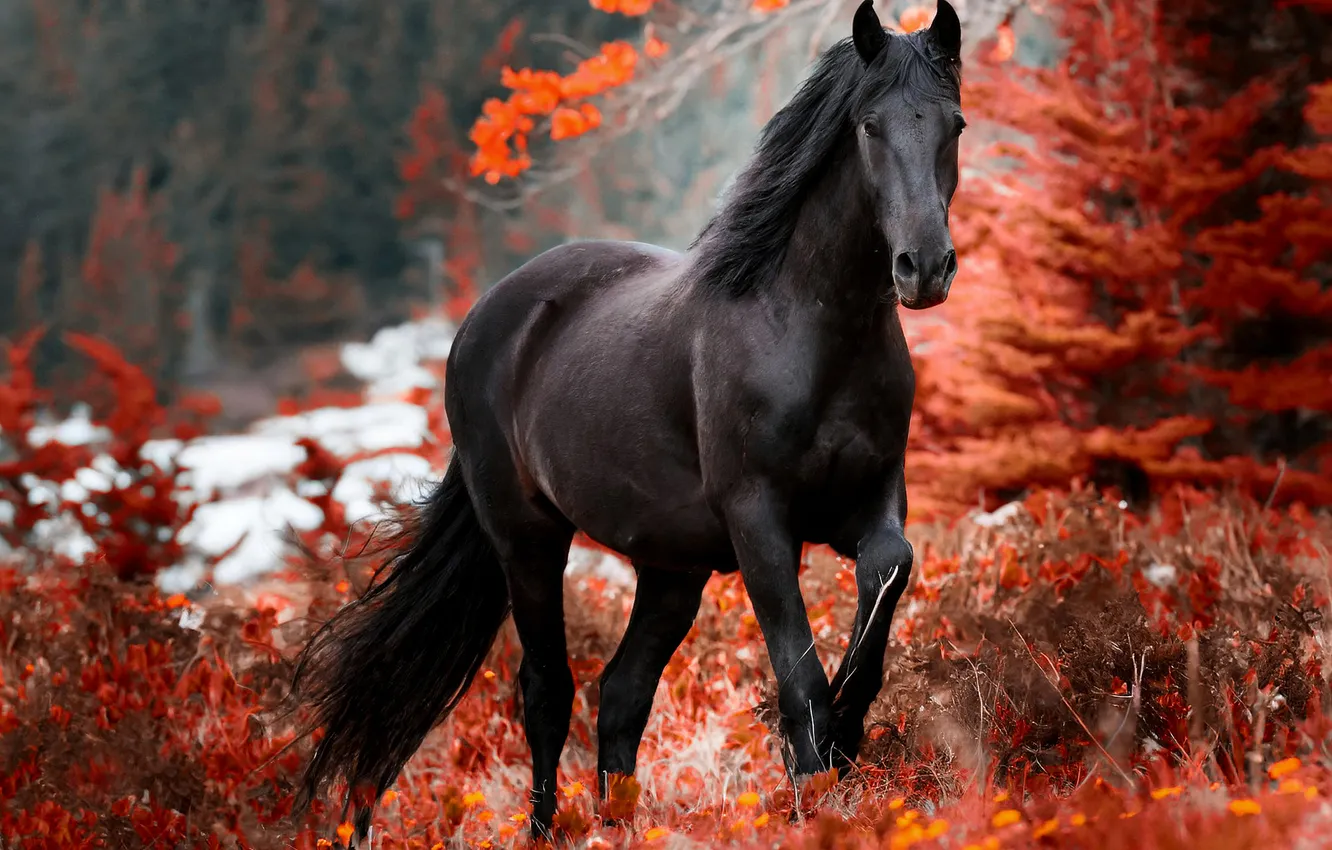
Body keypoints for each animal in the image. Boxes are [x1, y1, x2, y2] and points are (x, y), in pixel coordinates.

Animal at [288, 0, 965, 841]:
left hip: (672, 568)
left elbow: (887, 574)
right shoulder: (760, 521)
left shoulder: (870, 504)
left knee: (621, 694)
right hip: (527, 539)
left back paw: (617, 824)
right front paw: (815, 788)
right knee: (548, 689)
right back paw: (547, 830)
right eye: (870, 126)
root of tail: (486, 316)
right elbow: (798, 672)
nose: (924, 269)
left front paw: (845, 735)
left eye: (955, 125)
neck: (810, 331)